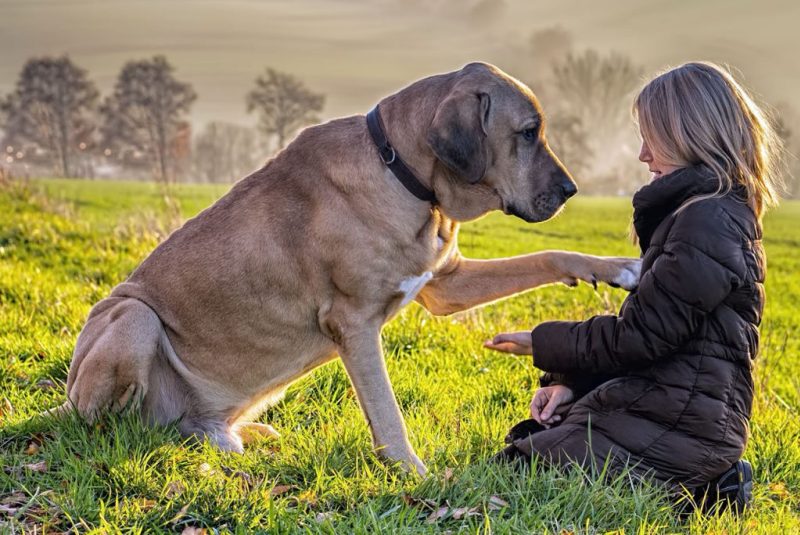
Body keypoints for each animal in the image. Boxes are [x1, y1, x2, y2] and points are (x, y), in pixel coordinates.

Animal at [61, 63, 636, 478]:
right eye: (528, 132)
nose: (571, 191)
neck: (400, 171)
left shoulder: (445, 283)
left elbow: (545, 257)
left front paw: (617, 269)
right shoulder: (354, 324)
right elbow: (387, 412)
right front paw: (418, 478)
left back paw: (239, 436)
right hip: (131, 317)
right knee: (118, 427)